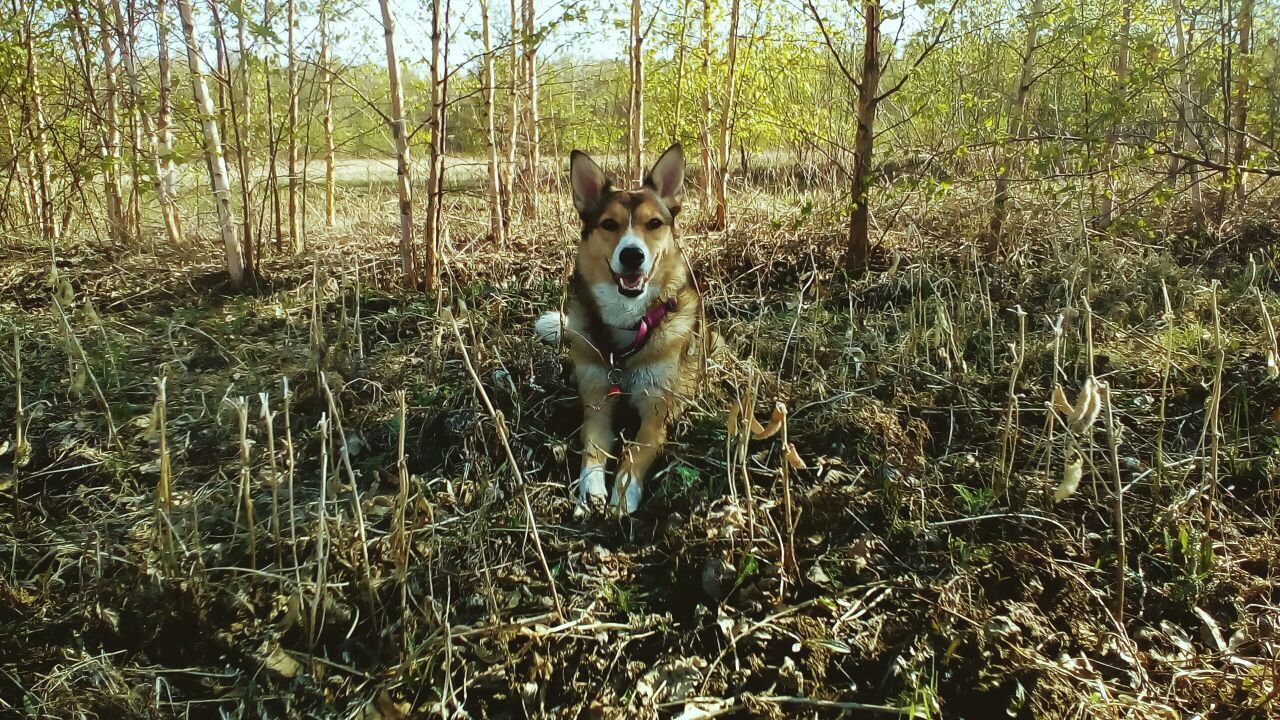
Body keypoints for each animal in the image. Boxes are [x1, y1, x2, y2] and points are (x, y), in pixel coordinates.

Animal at [529, 142, 711, 512]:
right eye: (609, 224)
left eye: (654, 223)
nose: (631, 255)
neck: (629, 324)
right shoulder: (597, 404)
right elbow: (593, 447)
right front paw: (591, 489)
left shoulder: (656, 413)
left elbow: (635, 451)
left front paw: (624, 493)